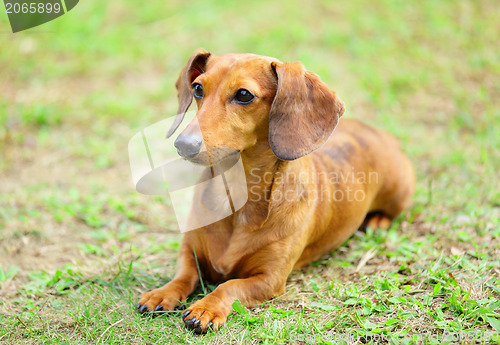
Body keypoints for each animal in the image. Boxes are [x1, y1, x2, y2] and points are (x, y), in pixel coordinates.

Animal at [135, 49, 416, 334]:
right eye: (197, 88)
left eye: (244, 95)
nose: (183, 145)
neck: (236, 199)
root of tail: (378, 131)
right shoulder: (189, 251)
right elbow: (184, 274)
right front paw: (162, 293)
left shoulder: (269, 279)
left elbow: (229, 286)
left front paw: (206, 307)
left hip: (398, 194)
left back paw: (377, 221)